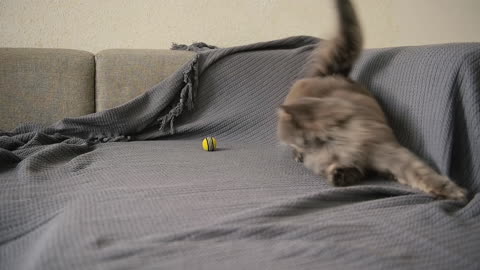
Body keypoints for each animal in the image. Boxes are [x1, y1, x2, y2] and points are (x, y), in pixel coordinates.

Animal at [276, 0, 466, 200]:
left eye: (296, 139)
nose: (302, 154)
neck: (334, 143)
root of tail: (331, 75)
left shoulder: (386, 151)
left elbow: (420, 173)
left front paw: (450, 191)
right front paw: (337, 175)